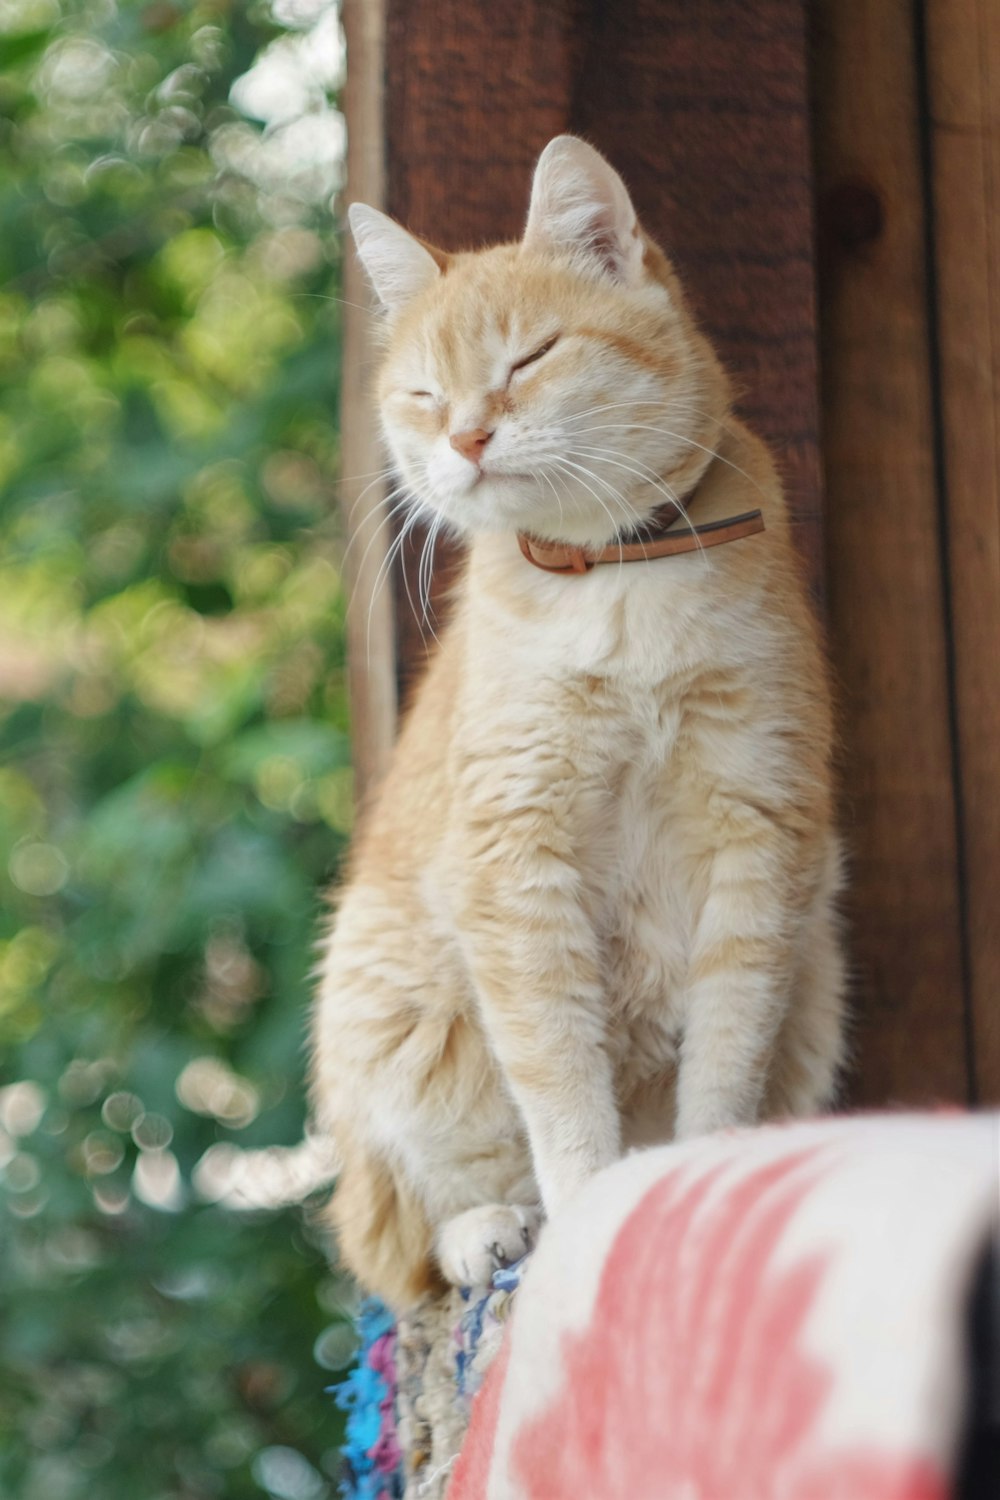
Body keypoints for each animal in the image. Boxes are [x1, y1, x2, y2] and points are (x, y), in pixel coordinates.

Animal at [310, 141, 845, 1314]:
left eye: (530, 358)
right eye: (424, 394)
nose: (466, 435)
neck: (612, 578)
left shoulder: (757, 839)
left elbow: (725, 1055)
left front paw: (685, 1177)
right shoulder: (518, 861)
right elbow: (557, 1077)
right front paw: (586, 1204)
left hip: (818, 972)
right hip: (392, 1007)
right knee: (405, 1243)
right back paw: (487, 1231)